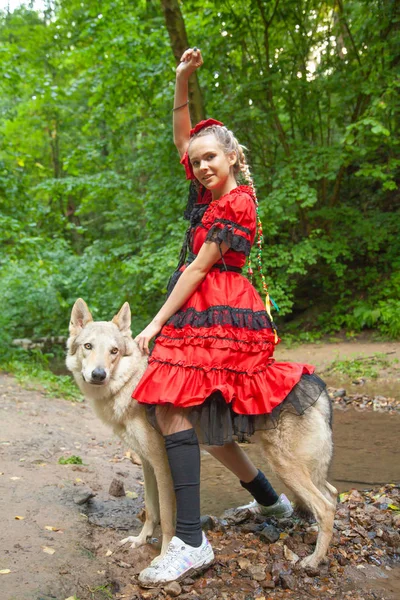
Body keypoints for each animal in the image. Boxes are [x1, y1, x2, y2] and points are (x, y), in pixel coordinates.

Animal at [66, 298, 338, 568]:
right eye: (88, 346)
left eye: (114, 351)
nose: (98, 375)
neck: (130, 384)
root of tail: (319, 387)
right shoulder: (146, 463)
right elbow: (151, 509)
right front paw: (140, 540)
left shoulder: (162, 464)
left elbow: (166, 517)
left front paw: (163, 556)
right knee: (333, 494)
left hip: (285, 466)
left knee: (326, 507)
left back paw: (313, 560)